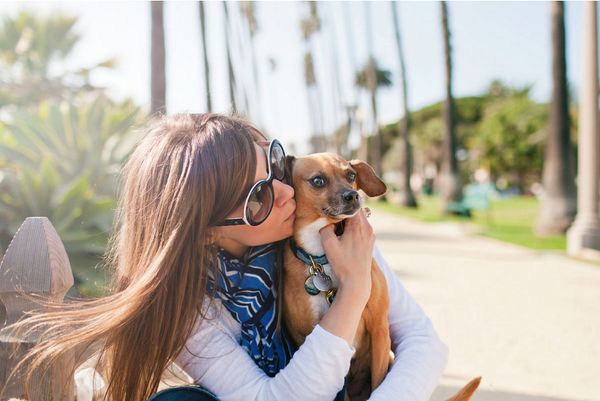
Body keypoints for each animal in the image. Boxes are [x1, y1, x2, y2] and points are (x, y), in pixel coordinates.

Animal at [282, 152, 482, 400]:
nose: (353, 195)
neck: (321, 257)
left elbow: (380, 380)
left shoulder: (379, 329)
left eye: (351, 175)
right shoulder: (306, 337)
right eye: (318, 180)